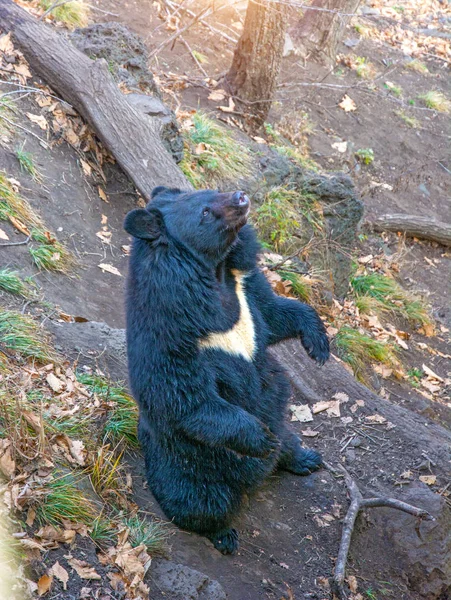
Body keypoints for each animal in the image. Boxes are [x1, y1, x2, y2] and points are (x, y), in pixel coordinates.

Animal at [125, 186, 330, 552]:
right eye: (205, 212)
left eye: (206, 190)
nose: (240, 197)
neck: (214, 274)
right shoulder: (171, 328)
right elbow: (185, 397)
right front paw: (261, 438)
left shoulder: (244, 286)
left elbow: (274, 313)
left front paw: (318, 346)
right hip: (188, 468)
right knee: (201, 504)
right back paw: (224, 535)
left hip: (280, 421)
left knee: (289, 440)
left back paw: (305, 458)